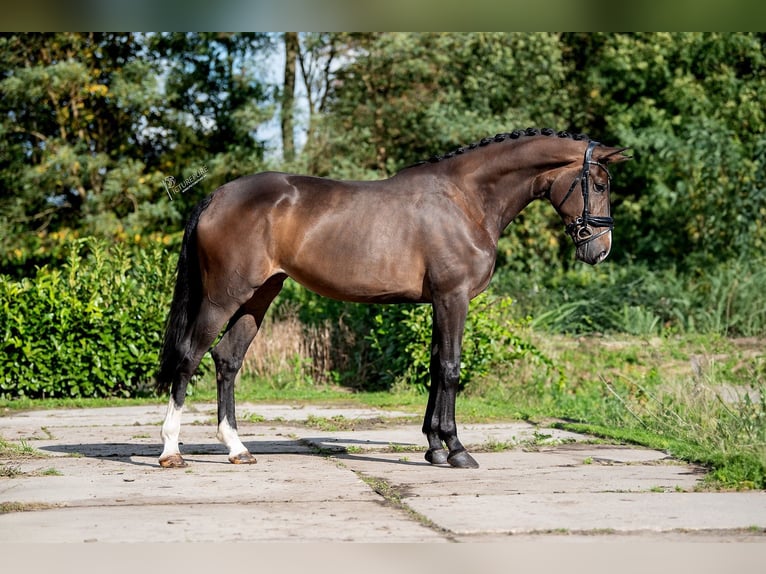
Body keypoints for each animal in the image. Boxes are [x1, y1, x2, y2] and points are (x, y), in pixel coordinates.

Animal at [156, 128, 632, 470]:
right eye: (598, 183)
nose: (600, 249)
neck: (467, 199)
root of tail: (217, 195)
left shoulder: (440, 302)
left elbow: (436, 368)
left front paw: (434, 447)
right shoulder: (453, 298)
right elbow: (451, 368)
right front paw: (457, 449)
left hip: (259, 296)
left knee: (227, 360)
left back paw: (237, 448)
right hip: (222, 298)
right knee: (189, 356)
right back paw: (171, 451)